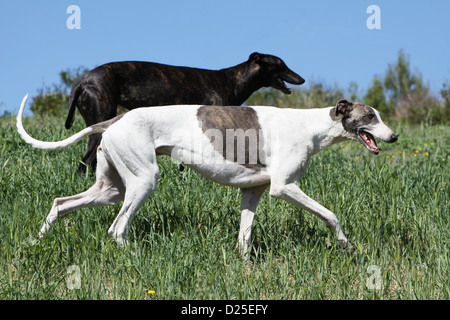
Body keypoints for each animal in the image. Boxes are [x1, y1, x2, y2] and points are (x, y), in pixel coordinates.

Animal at [16, 94, 398, 256]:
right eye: (371, 117)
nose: (394, 136)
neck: (312, 126)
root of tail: (115, 119)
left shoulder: (253, 191)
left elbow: (244, 236)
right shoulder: (283, 187)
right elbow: (331, 215)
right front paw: (347, 245)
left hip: (110, 189)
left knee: (61, 202)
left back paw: (36, 240)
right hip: (143, 182)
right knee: (116, 228)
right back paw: (134, 257)